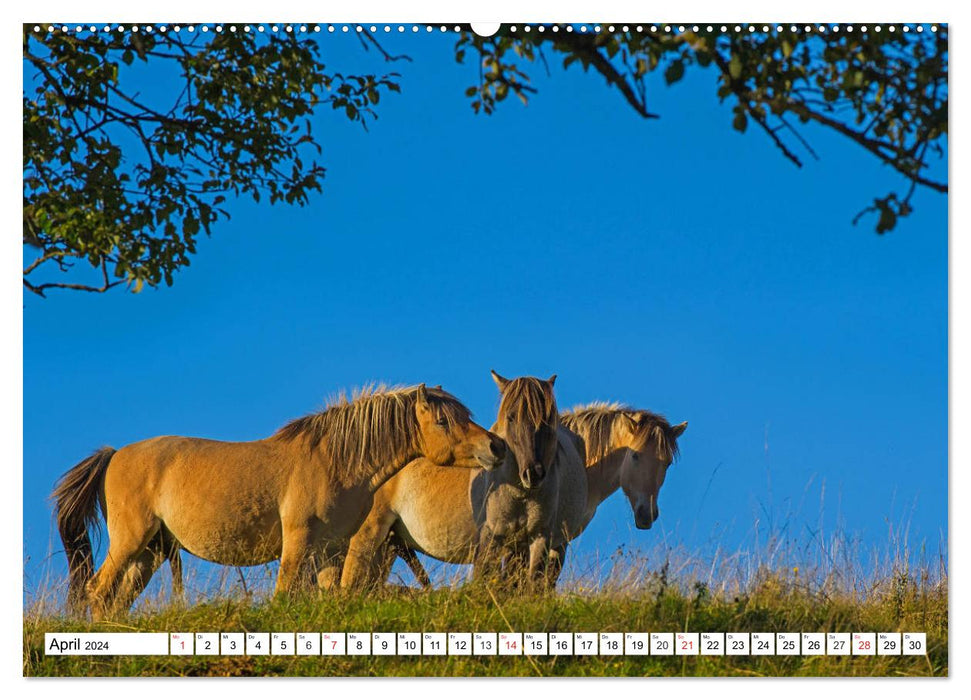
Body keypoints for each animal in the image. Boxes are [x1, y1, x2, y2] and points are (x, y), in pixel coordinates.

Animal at [51, 382, 508, 616]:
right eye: (443, 420)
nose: (496, 446)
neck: (333, 460)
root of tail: (114, 455)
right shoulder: (299, 541)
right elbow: (286, 593)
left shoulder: (329, 550)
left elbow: (332, 595)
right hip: (131, 541)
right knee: (98, 591)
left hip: (151, 551)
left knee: (116, 599)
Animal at [338, 372, 588, 592]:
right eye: (510, 417)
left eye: (547, 420)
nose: (533, 474)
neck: (520, 494)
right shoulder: (491, 539)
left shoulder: (540, 540)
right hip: (367, 536)